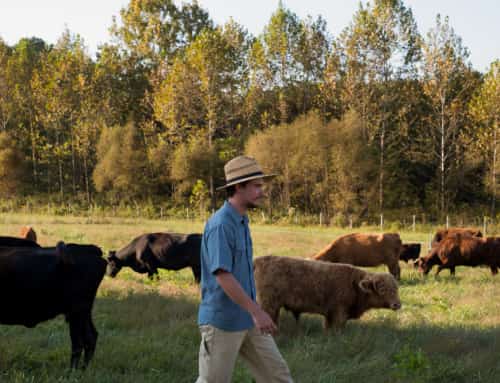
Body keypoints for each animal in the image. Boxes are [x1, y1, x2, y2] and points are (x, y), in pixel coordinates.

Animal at [252, 256, 400, 332]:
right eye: (382, 289)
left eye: (396, 288)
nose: (397, 304)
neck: (354, 284)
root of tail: (259, 260)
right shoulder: (339, 313)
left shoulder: (330, 315)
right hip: (269, 305)